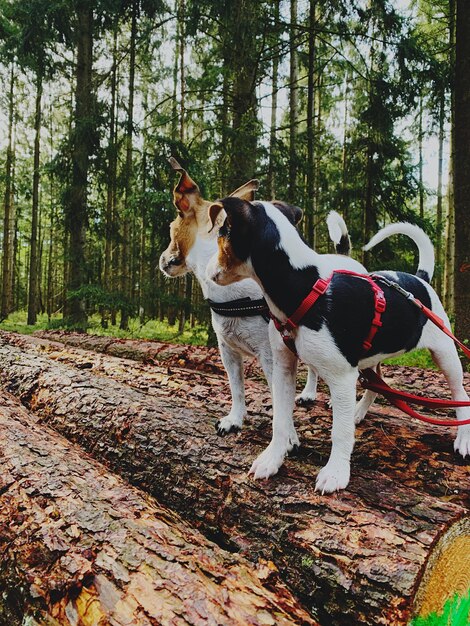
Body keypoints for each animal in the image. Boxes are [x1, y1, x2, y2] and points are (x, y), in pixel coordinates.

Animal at [160, 157, 362, 434]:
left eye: (171, 229)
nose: (161, 260)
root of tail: (345, 257)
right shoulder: (228, 352)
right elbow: (237, 389)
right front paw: (235, 419)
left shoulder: (272, 356)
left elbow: (279, 401)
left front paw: (288, 437)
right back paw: (309, 393)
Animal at [207, 197, 470, 490]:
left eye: (221, 234)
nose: (206, 273)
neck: (305, 287)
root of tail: (420, 278)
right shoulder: (284, 367)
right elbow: (280, 419)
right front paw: (272, 459)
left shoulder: (342, 377)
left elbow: (340, 431)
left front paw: (336, 472)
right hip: (368, 357)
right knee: (376, 384)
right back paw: (358, 411)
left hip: (445, 353)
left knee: (460, 393)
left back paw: (463, 438)